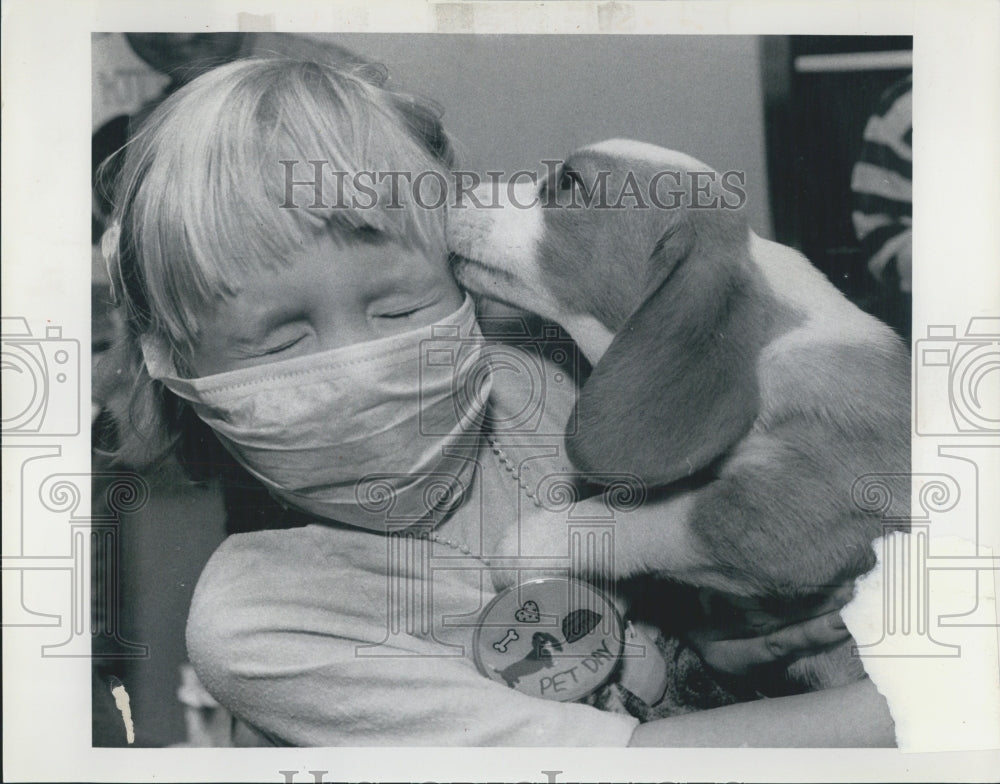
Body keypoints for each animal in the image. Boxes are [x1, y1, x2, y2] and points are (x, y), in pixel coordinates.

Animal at [450, 141, 912, 692]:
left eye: (569, 184)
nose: (450, 190)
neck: (766, 351)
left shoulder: (807, 510)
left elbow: (660, 517)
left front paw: (530, 543)